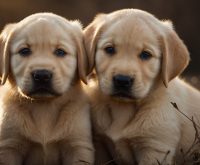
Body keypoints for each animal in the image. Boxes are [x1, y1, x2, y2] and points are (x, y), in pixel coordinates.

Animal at [0, 13, 94, 165]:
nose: (42, 75)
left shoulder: (78, 146)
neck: (44, 107)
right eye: (24, 51)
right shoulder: (9, 146)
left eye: (60, 52)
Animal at [83, 9, 200, 165]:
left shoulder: (155, 148)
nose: (122, 80)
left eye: (146, 54)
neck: (122, 108)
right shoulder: (100, 145)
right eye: (109, 49)